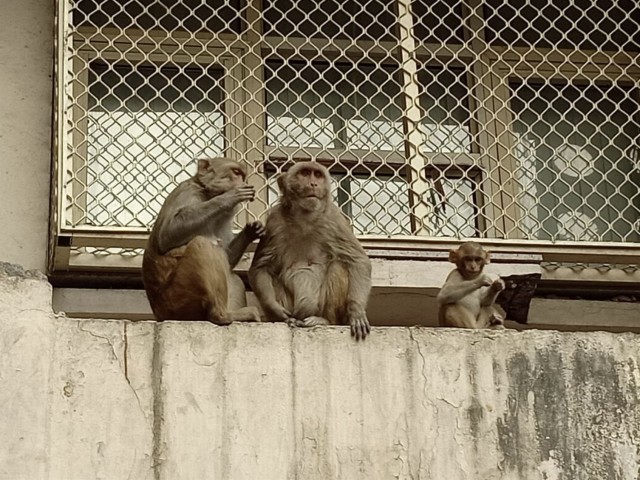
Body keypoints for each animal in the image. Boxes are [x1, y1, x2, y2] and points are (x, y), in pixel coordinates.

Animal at [144, 158, 264, 326]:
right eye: (236, 172)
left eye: (242, 175)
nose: (243, 182)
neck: (206, 194)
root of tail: (159, 314)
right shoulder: (187, 192)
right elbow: (166, 235)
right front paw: (229, 197)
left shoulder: (223, 216)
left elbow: (227, 257)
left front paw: (251, 231)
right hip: (178, 300)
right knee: (202, 245)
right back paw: (221, 315)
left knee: (230, 272)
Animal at [249, 162, 372, 342]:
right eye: (305, 173)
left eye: (318, 175)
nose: (314, 184)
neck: (304, 217)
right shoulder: (274, 221)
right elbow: (261, 267)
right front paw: (274, 308)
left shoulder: (334, 218)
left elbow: (358, 260)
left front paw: (356, 311)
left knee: (338, 266)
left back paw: (324, 320)